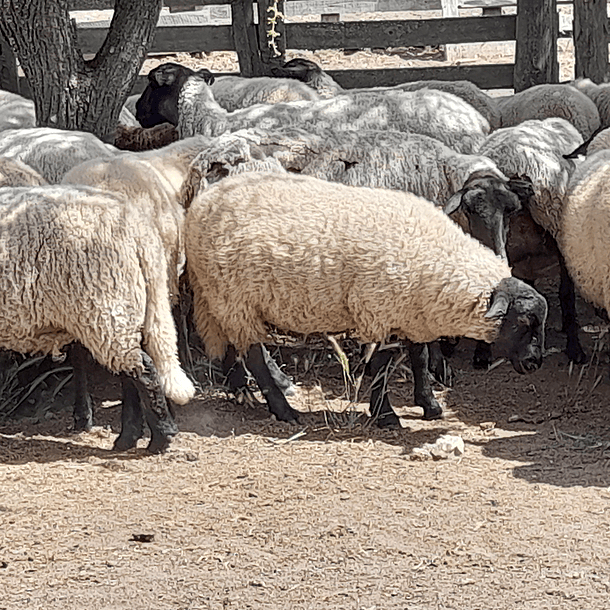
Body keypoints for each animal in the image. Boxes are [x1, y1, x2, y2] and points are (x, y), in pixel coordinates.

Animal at [0, 185, 191, 452]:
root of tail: (138, 227)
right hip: (126, 306)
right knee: (133, 370)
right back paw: (129, 437)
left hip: (105, 303)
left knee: (143, 370)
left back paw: (161, 437)